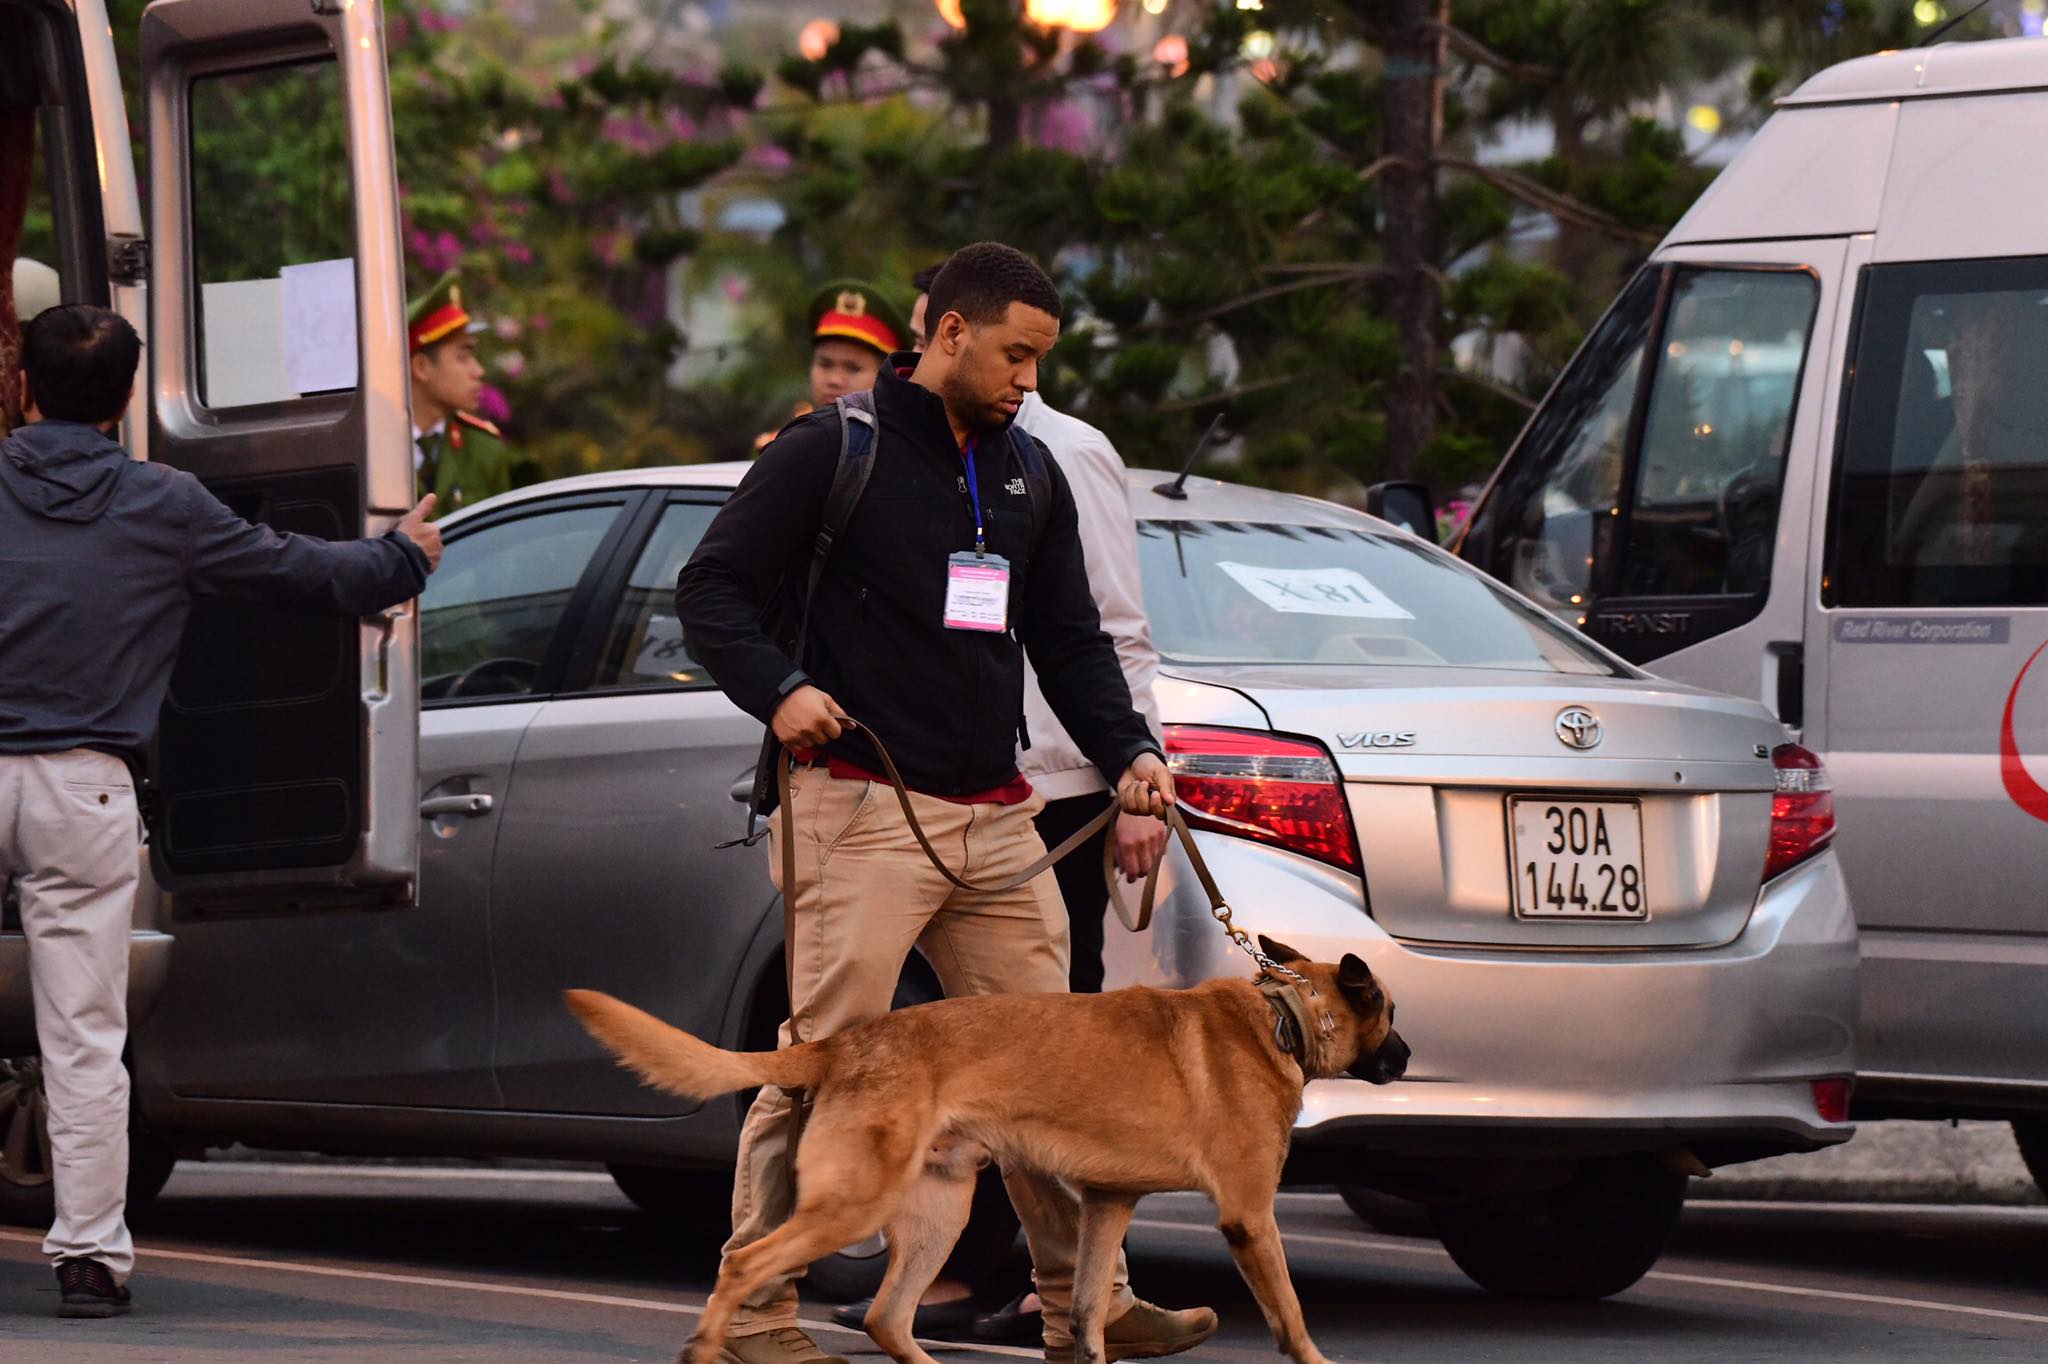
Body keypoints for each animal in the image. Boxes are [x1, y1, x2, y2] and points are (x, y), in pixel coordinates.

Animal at [569, 942, 1417, 1359]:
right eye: (1393, 1014)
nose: (1408, 1058)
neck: (1283, 1014)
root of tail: (846, 1043)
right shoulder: (1250, 1217)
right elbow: (1292, 1318)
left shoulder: (1108, 1206)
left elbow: (1087, 1315)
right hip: (854, 1208)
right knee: (746, 1264)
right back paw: (706, 1346)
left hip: (937, 1217)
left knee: (885, 1317)